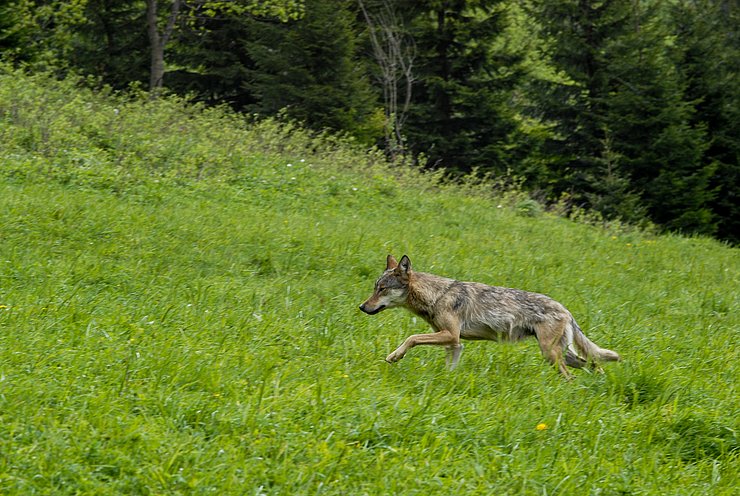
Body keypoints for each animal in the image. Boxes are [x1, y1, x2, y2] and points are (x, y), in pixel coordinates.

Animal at [358, 254, 620, 378]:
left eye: (382, 289)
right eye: (375, 287)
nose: (361, 307)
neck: (438, 296)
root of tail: (566, 309)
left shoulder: (450, 335)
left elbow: (411, 338)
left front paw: (394, 356)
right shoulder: (454, 344)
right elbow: (449, 369)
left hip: (551, 355)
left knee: (575, 374)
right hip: (561, 354)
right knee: (593, 363)